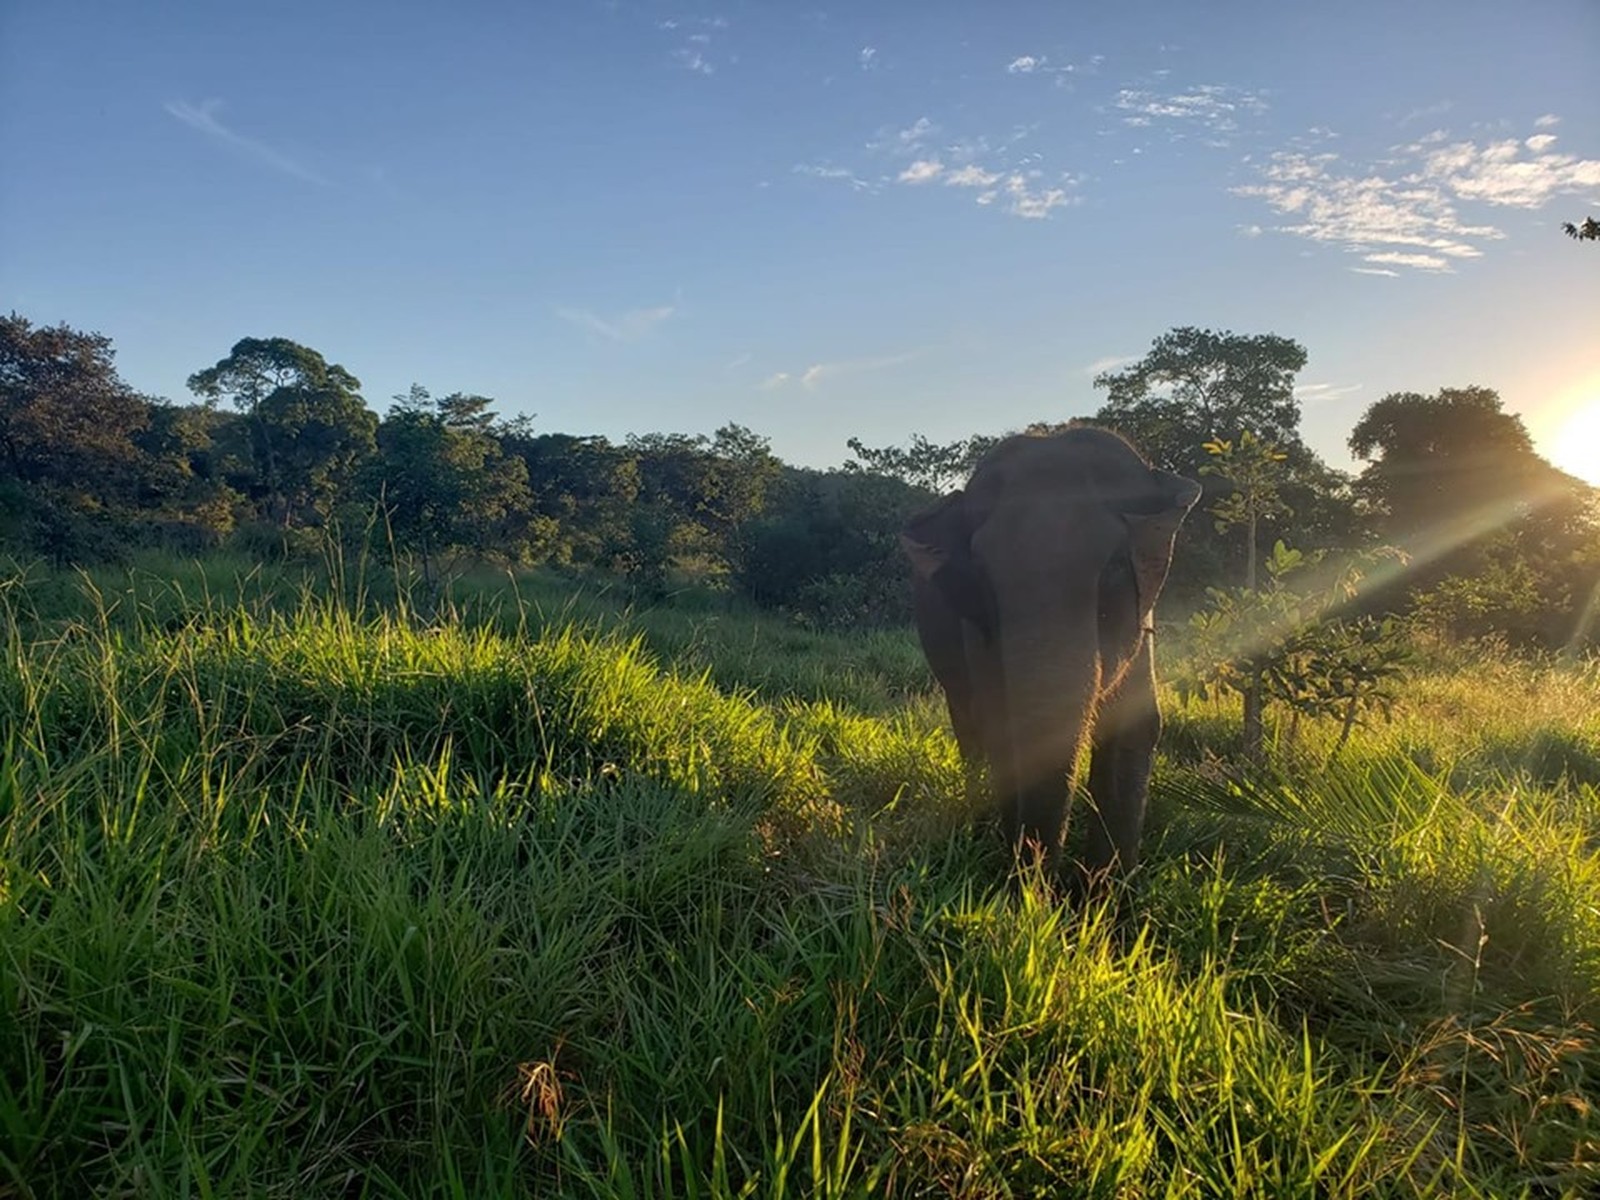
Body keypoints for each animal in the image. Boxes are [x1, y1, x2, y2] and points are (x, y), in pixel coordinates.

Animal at [900, 426, 1201, 882]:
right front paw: (1022, 883)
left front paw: (1105, 894)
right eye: (982, 577)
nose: (1040, 883)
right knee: (968, 724)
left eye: (1115, 568)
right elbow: (1001, 725)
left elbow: (1136, 727)